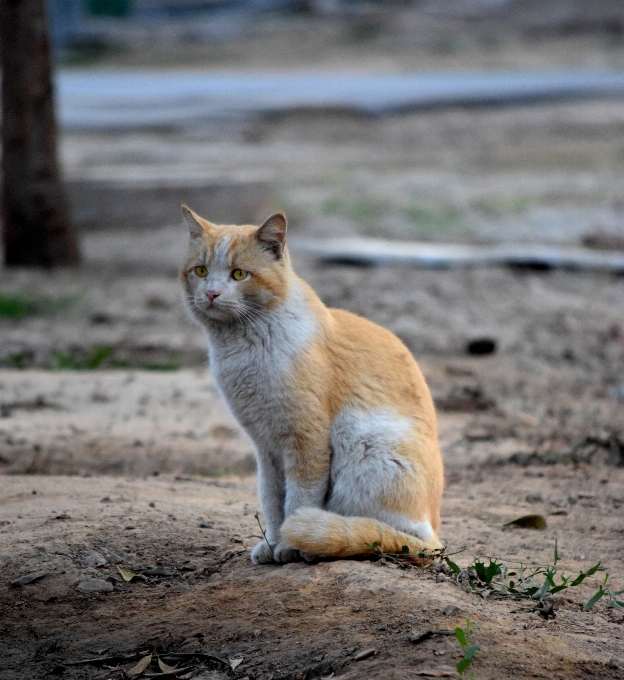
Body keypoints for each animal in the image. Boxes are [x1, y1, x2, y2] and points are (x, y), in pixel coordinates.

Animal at [180, 206, 444, 564]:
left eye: (239, 274)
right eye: (201, 270)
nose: (210, 293)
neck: (240, 346)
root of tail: (435, 538)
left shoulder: (306, 441)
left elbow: (298, 501)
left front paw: (289, 546)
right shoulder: (266, 448)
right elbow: (272, 501)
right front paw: (273, 544)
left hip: (367, 445)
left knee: (389, 535)